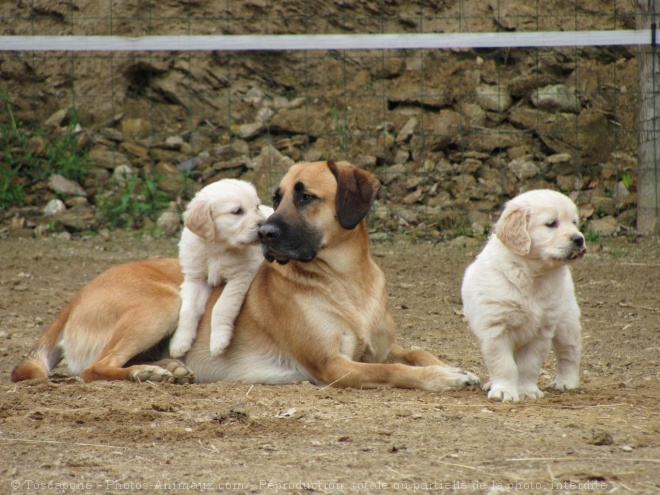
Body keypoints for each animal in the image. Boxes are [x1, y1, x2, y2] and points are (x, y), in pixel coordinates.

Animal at [171, 180, 274, 358]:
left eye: (257, 206)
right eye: (237, 211)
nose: (264, 226)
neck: (216, 249)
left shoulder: (241, 275)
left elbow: (222, 306)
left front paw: (218, 341)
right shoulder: (195, 278)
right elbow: (188, 309)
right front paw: (179, 342)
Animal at [462, 190, 584, 404]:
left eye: (574, 222)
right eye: (551, 223)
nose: (579, 239)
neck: (532, 275)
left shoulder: (541, 333)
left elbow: (529, 365)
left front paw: (527, 390)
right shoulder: (496, 330)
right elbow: (504, 364)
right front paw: (504, 390)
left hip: (566, 321)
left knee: (569, 351)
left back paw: (566, 381)